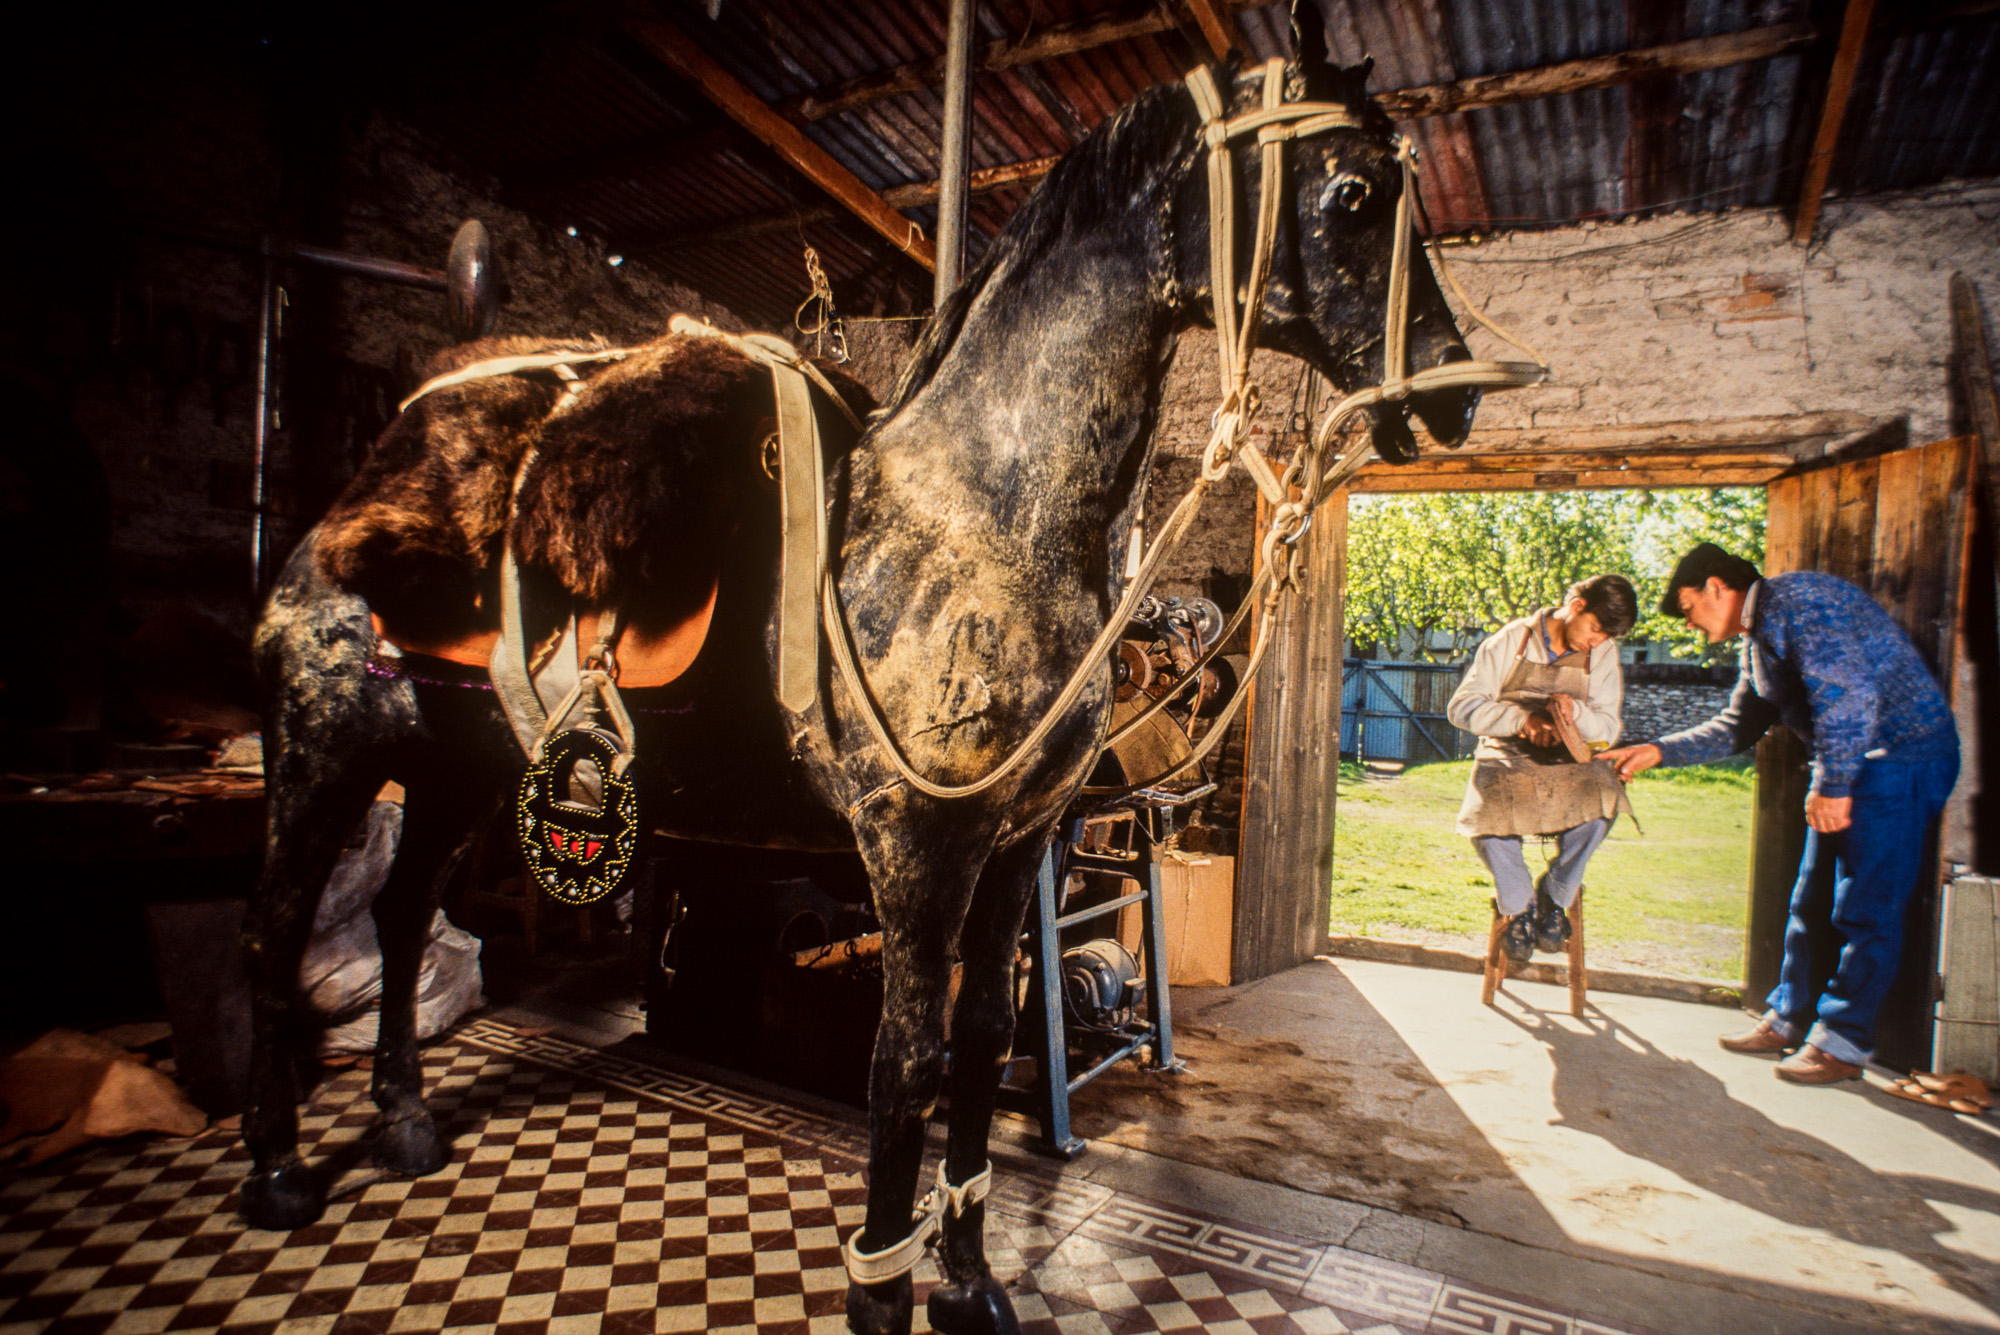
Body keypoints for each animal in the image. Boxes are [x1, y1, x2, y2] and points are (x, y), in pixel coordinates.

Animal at [238, 33, 1488, 1335]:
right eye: (1353, 193)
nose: (1453, 390)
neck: (974, 522)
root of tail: (356, 502)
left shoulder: (1017, 847)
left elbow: (986, 1042)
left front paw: (971, 1279)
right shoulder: (915, 854)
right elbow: (905, 1072)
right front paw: (882, 1290)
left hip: (452, 772)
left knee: (396, 916)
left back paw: (402, 1120)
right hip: (322, 759)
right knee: (275, 930)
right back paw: (275, 1166)